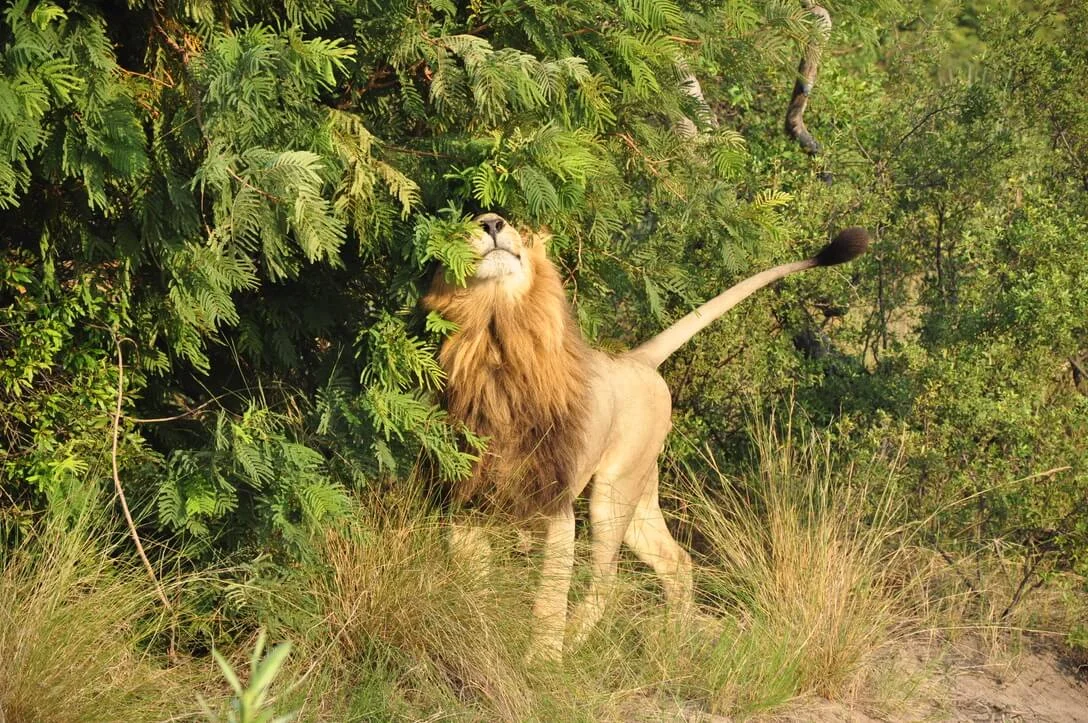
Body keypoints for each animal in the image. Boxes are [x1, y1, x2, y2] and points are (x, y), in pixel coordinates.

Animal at [423, 212, 869, 661]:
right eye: (463, 225)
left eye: (517, 228)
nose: (492, 223)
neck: (496, 337)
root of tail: (638, 360)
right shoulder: (465, 503)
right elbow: (472, 582)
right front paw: (477, 632)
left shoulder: (555, 505)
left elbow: (548, 597)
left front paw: (542, 660)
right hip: (639, 497)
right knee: (676, 561)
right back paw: (673, 640)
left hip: (613, 492)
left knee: (606, 579)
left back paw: (575, 645)